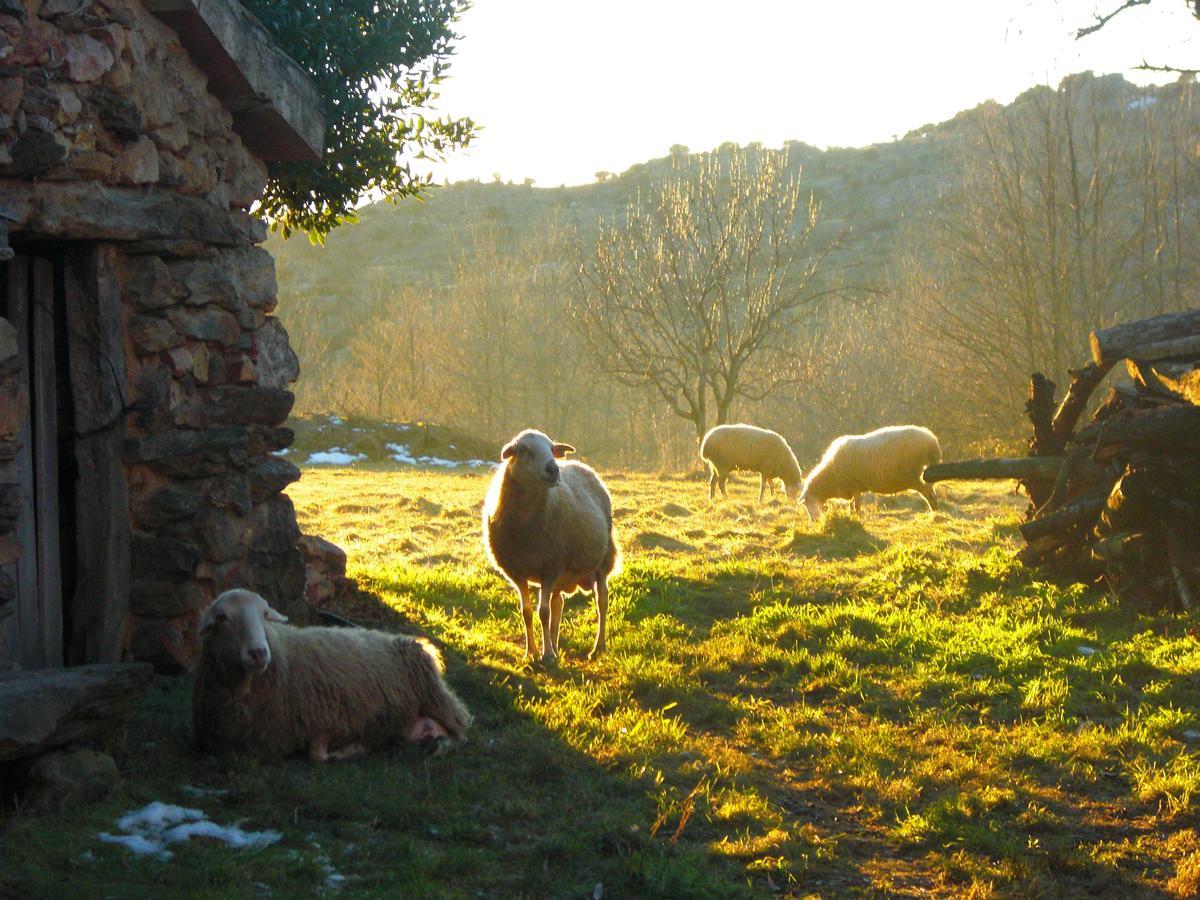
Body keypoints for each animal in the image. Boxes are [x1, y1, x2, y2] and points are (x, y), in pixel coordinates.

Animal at [189, 588, 470, 763]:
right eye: (222, 618)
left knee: (459, 735)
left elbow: (318, 755)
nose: (258, 653)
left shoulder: (326, 719)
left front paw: (346, 749)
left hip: (438, 702)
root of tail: (417, 643)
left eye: (264, 614)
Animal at [482, 429, 624, 672]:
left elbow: (544, 613)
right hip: (562, 572)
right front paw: (531, 653)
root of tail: (580, 464)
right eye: (524, 450)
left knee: (602, 601)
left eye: (551, 448)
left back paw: (597, 648)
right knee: (559, 604)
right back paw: (557, 647)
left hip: (602, 560)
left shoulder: (549, 568)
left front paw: (546, 655)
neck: (525, 527)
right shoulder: (518, 573)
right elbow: (528, 612)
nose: (554, 469)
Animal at [801, 424, 940, 518]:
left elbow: (856, 505)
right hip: (925, 476)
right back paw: (935, 512)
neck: (830, 475)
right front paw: (852, 515)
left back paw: (934, 512)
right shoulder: (854, 488)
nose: (814, 521)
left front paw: (858, 516)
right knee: (932, 492)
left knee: (930, 495)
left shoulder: (855, 486)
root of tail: (932, 440)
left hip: (915, 476)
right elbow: (852, 504)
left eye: (808, 503)